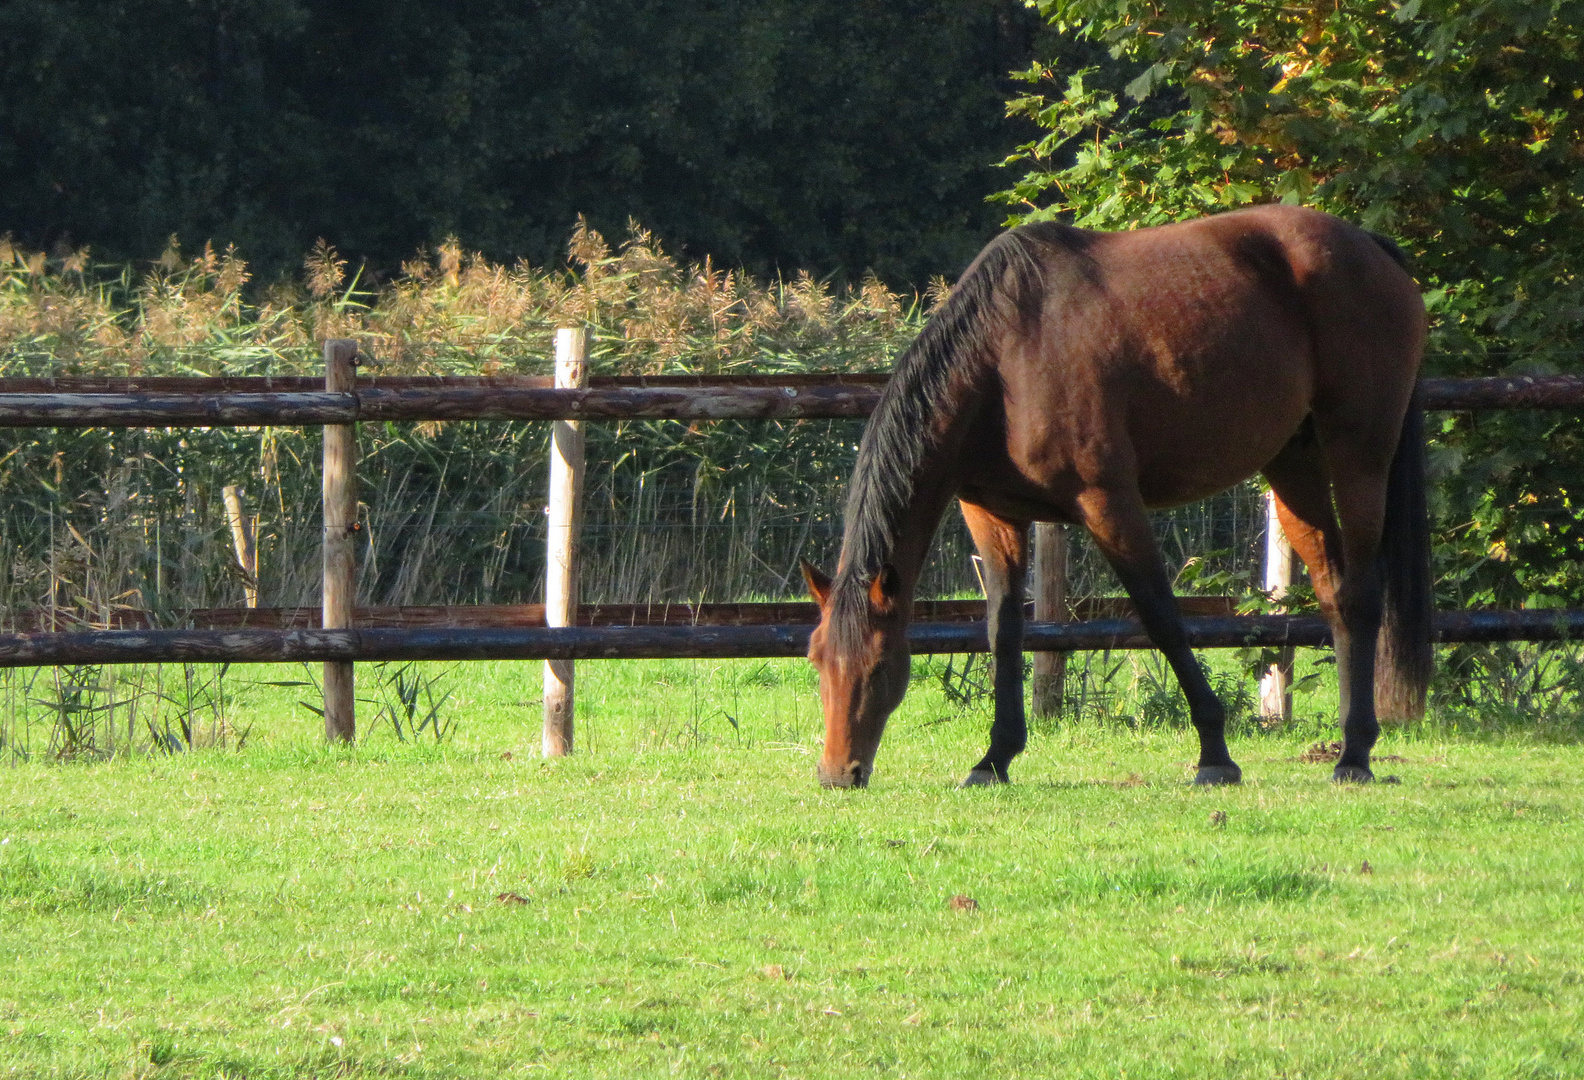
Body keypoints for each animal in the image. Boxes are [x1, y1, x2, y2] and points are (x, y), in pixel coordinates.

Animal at [798, 205, 1431, 785]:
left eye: (880, 666)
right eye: (815, 659)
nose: (837, 773)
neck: (1006, 357)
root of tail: (1370, 247)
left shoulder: (1109, 503)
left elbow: (1161, 618)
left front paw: (1215, 754)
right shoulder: (991, 514)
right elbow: (1004, 633)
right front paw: (995, 758)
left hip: (1359, 455)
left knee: (1362, 595)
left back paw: (1355, 754)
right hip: (1292, 463)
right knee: (1333, 591)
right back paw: (1350, 742)